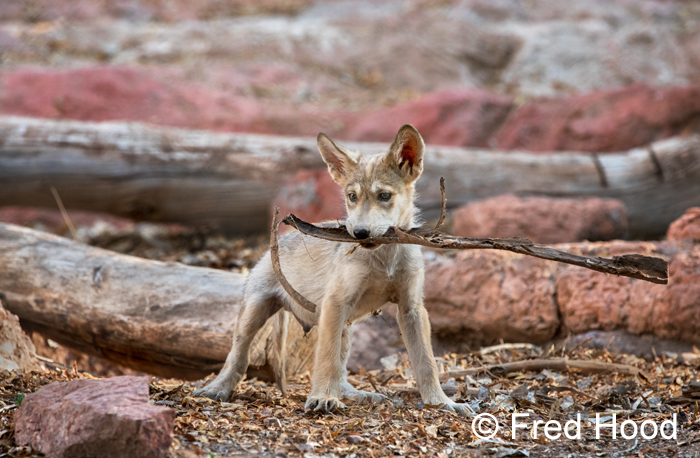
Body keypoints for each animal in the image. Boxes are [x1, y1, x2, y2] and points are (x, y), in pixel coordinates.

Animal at [194, 124, 473, 416]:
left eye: (384, 196)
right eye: (352, 197)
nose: (359, 233)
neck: (384, 259)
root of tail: (276, 242)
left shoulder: (412, 308)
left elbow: (426, 362)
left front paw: (441, 402)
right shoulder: (336, 302)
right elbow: (325, 359)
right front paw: (322, 397)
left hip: (345, 328)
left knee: (342, 372)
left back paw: (359, 395)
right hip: (255, 313)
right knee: (237, 357)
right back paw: (217, 388)